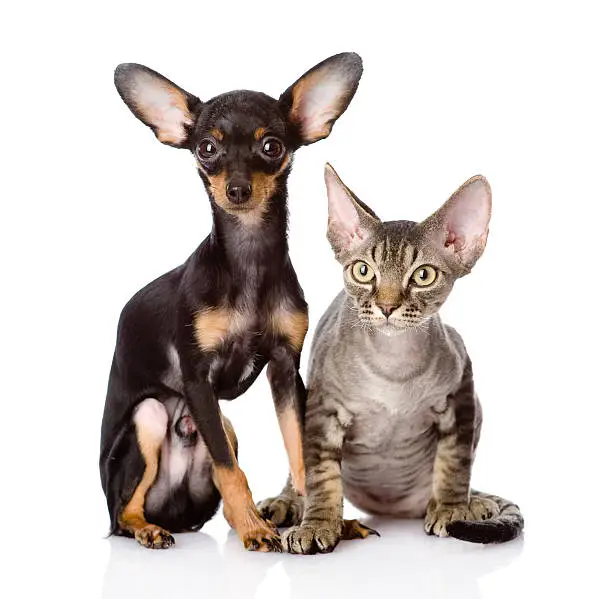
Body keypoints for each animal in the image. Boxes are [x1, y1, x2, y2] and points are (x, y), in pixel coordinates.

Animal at [98, 54, 360, 552]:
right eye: (207, 149)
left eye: (272, 146)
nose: (237, 189)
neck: (249, 261)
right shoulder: (197, 378)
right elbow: (229, 470)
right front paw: (254, 528)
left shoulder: (284, 367)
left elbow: (300, 451)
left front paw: (323, 520)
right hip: (150, 416)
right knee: (124, 512)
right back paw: (149, 529)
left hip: (225, 425)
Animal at [258, 165, 520, 556]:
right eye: (363, 271)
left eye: (423, 275)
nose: (386, 305)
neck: (393, 367)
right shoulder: (322, 407)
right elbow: (321, 474)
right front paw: (317, 523)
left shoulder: (463, 391)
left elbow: (454, 463)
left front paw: (451, 508)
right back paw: (288, 502)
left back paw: (473, 503)